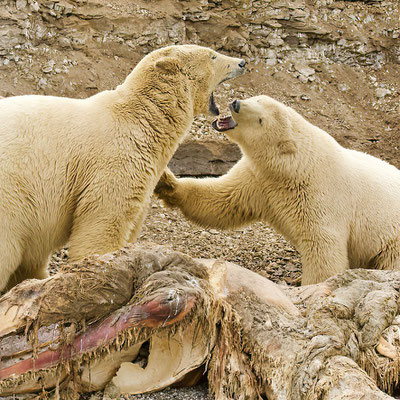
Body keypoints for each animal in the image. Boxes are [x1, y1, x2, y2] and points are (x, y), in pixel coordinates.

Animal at [0, 44, 247, 290]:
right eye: (213, 56)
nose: (242, 62)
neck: (143, 118)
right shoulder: (116, 159)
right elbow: (103, 222)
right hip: (11, 196)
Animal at [155, 95, 400, 286]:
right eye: (257, 98)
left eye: (260, 120)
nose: (235, 103)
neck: (292, 167)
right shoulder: (258, 179)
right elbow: (221, 199)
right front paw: (166, 183)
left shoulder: (318, 193)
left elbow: (322, 245)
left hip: (391, 239)